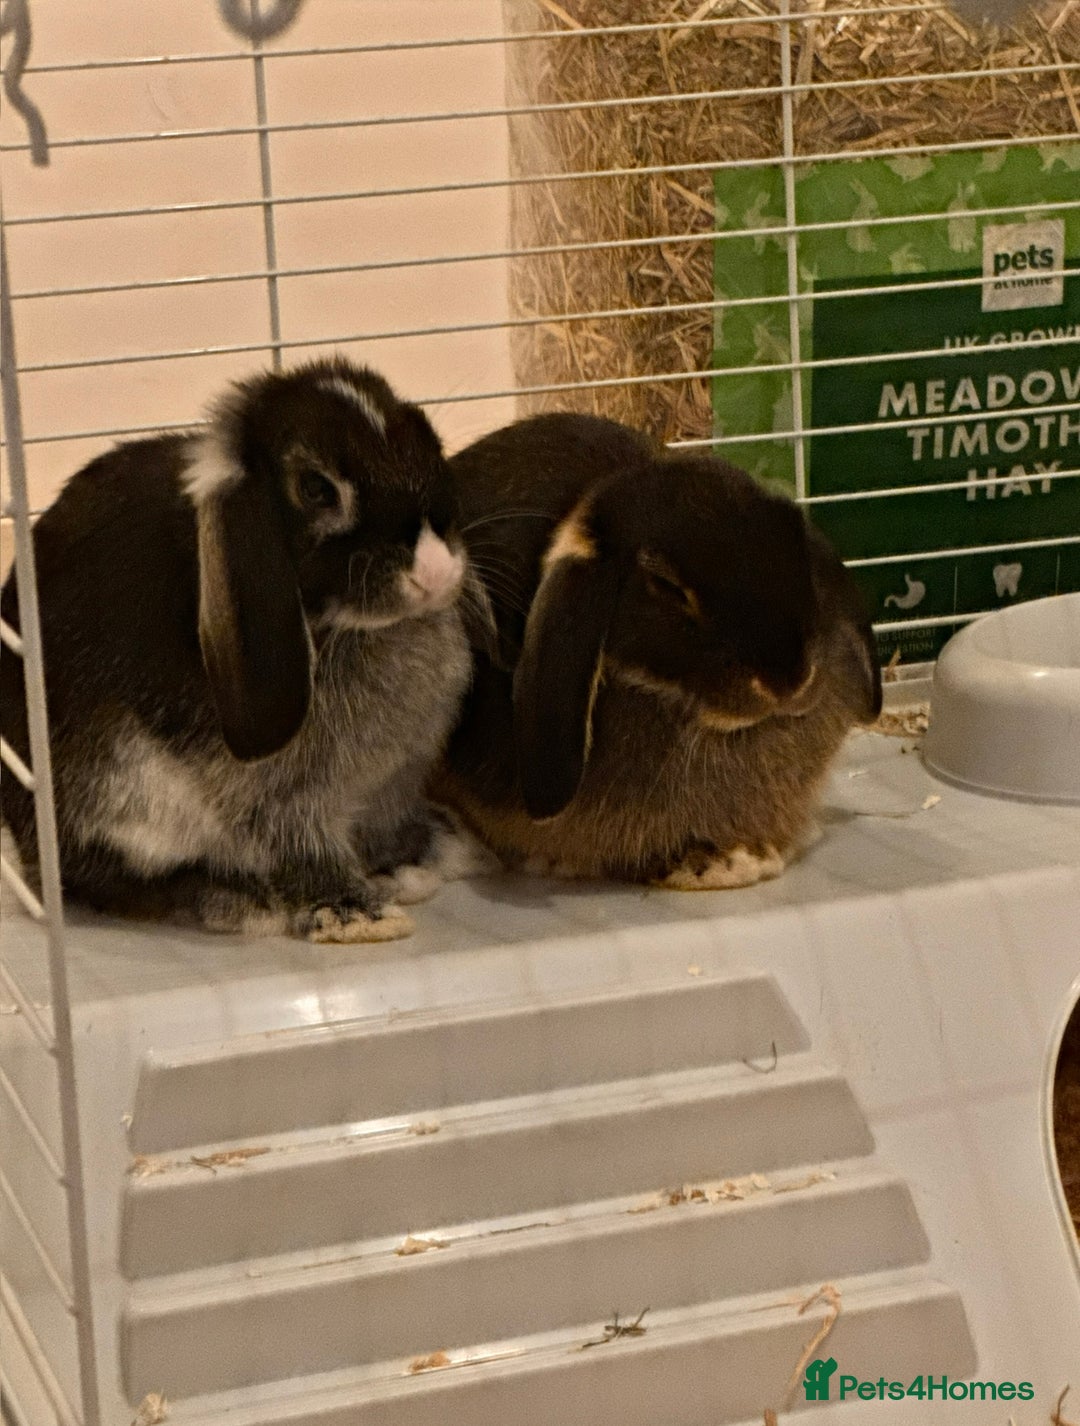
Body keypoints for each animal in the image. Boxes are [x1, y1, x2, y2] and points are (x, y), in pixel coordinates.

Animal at [0, 358, 489, 942]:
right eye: (317, 489)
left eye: (427, 436)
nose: (436, 572)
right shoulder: (279, 803)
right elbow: (300, 848)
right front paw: (359, 916)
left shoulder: (383, 792)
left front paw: (424, 856)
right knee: (108, 879)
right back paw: (235, 900)